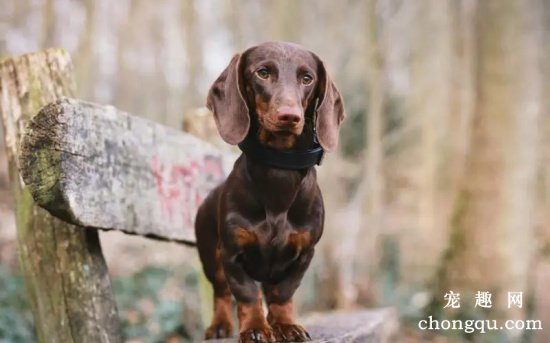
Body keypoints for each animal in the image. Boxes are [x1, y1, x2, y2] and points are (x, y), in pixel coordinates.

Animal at [197, 41, 344, 343]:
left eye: (307, 78)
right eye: (263, 72)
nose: (289, 116)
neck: (279, 172)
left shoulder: (303, 254)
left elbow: (282, 294)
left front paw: (285, 325)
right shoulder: (232, 254)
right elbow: (247, 295)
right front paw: (255, 327)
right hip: (210, 257)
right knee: (221, 292)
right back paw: (219, 326)